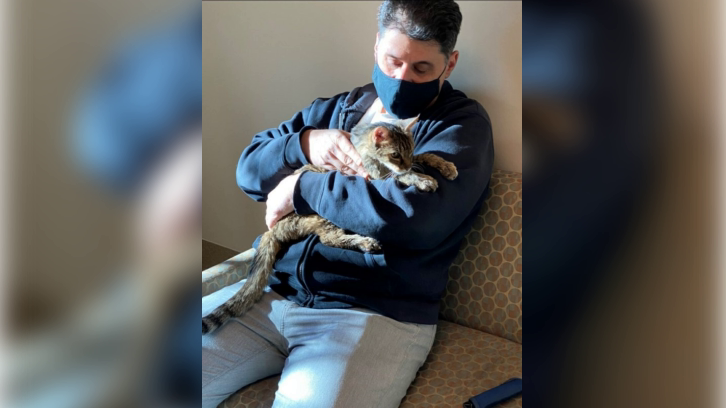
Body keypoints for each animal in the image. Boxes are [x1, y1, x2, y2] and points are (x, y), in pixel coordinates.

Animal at [202, 121, 458, 334]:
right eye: (395, 154)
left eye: (409, 151)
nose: (405, 163)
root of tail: (272, 230)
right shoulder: (376, 178)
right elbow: (402, 176)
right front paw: (422, 179)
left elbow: (424, 156)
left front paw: (444, 165)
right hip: (321, 215)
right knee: (329, 239)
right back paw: (366, 242)